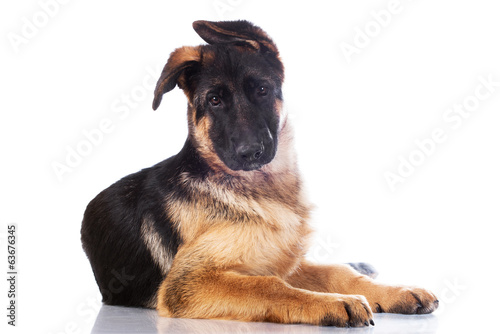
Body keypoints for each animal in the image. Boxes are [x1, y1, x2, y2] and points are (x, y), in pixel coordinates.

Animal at [81, 20, 438, 326]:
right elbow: (267, 286)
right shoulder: (187, 281)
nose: (250, 152)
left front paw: (395, 291)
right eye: (214, 100)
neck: (264, 191)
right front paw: (332, 303)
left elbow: (337, 273)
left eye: (262, 90)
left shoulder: (283, 261)